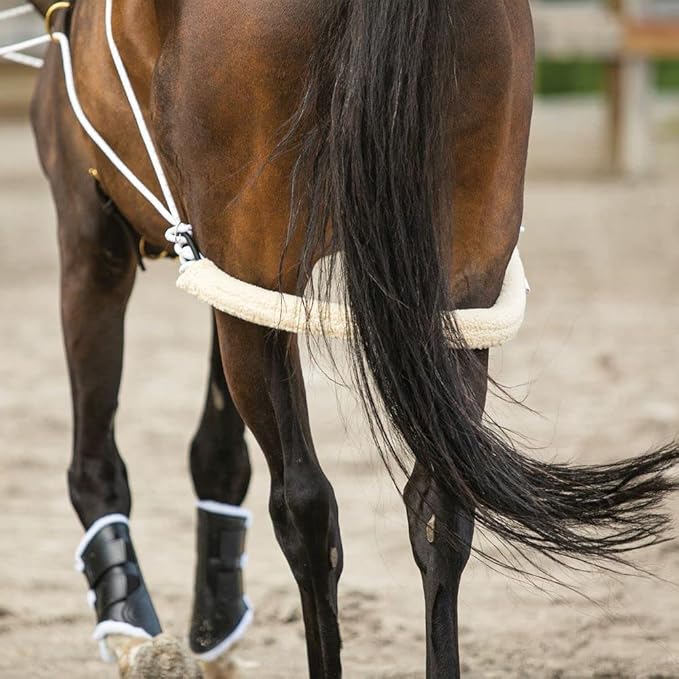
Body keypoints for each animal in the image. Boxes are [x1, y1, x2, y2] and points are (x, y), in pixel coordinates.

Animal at [24, 0, 679, 677]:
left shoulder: (91, 232)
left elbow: (96, 462)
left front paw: (135, 630)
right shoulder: (214, 271)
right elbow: (217, 451)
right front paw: (214, 626)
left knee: (305, 507)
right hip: (461, 280)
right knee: (440, 505)